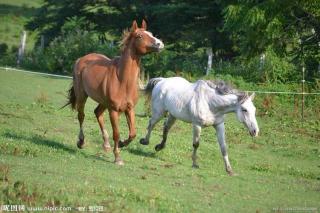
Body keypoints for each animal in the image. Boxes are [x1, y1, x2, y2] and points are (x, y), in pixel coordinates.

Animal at [65, 20, 165, 166]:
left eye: (151, 33)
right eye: (139, 36)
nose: (160, 44)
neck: (122, 80)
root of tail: (81, 59)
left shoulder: (129, 109)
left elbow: (132, 133)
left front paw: (122, 144)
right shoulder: (114, 110)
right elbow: (116, 133)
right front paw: (118, 157)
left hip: (103, 102)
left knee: (97, 113)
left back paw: (106, 145)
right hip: (82, 96)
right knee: (81, 116)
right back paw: (81, 142)